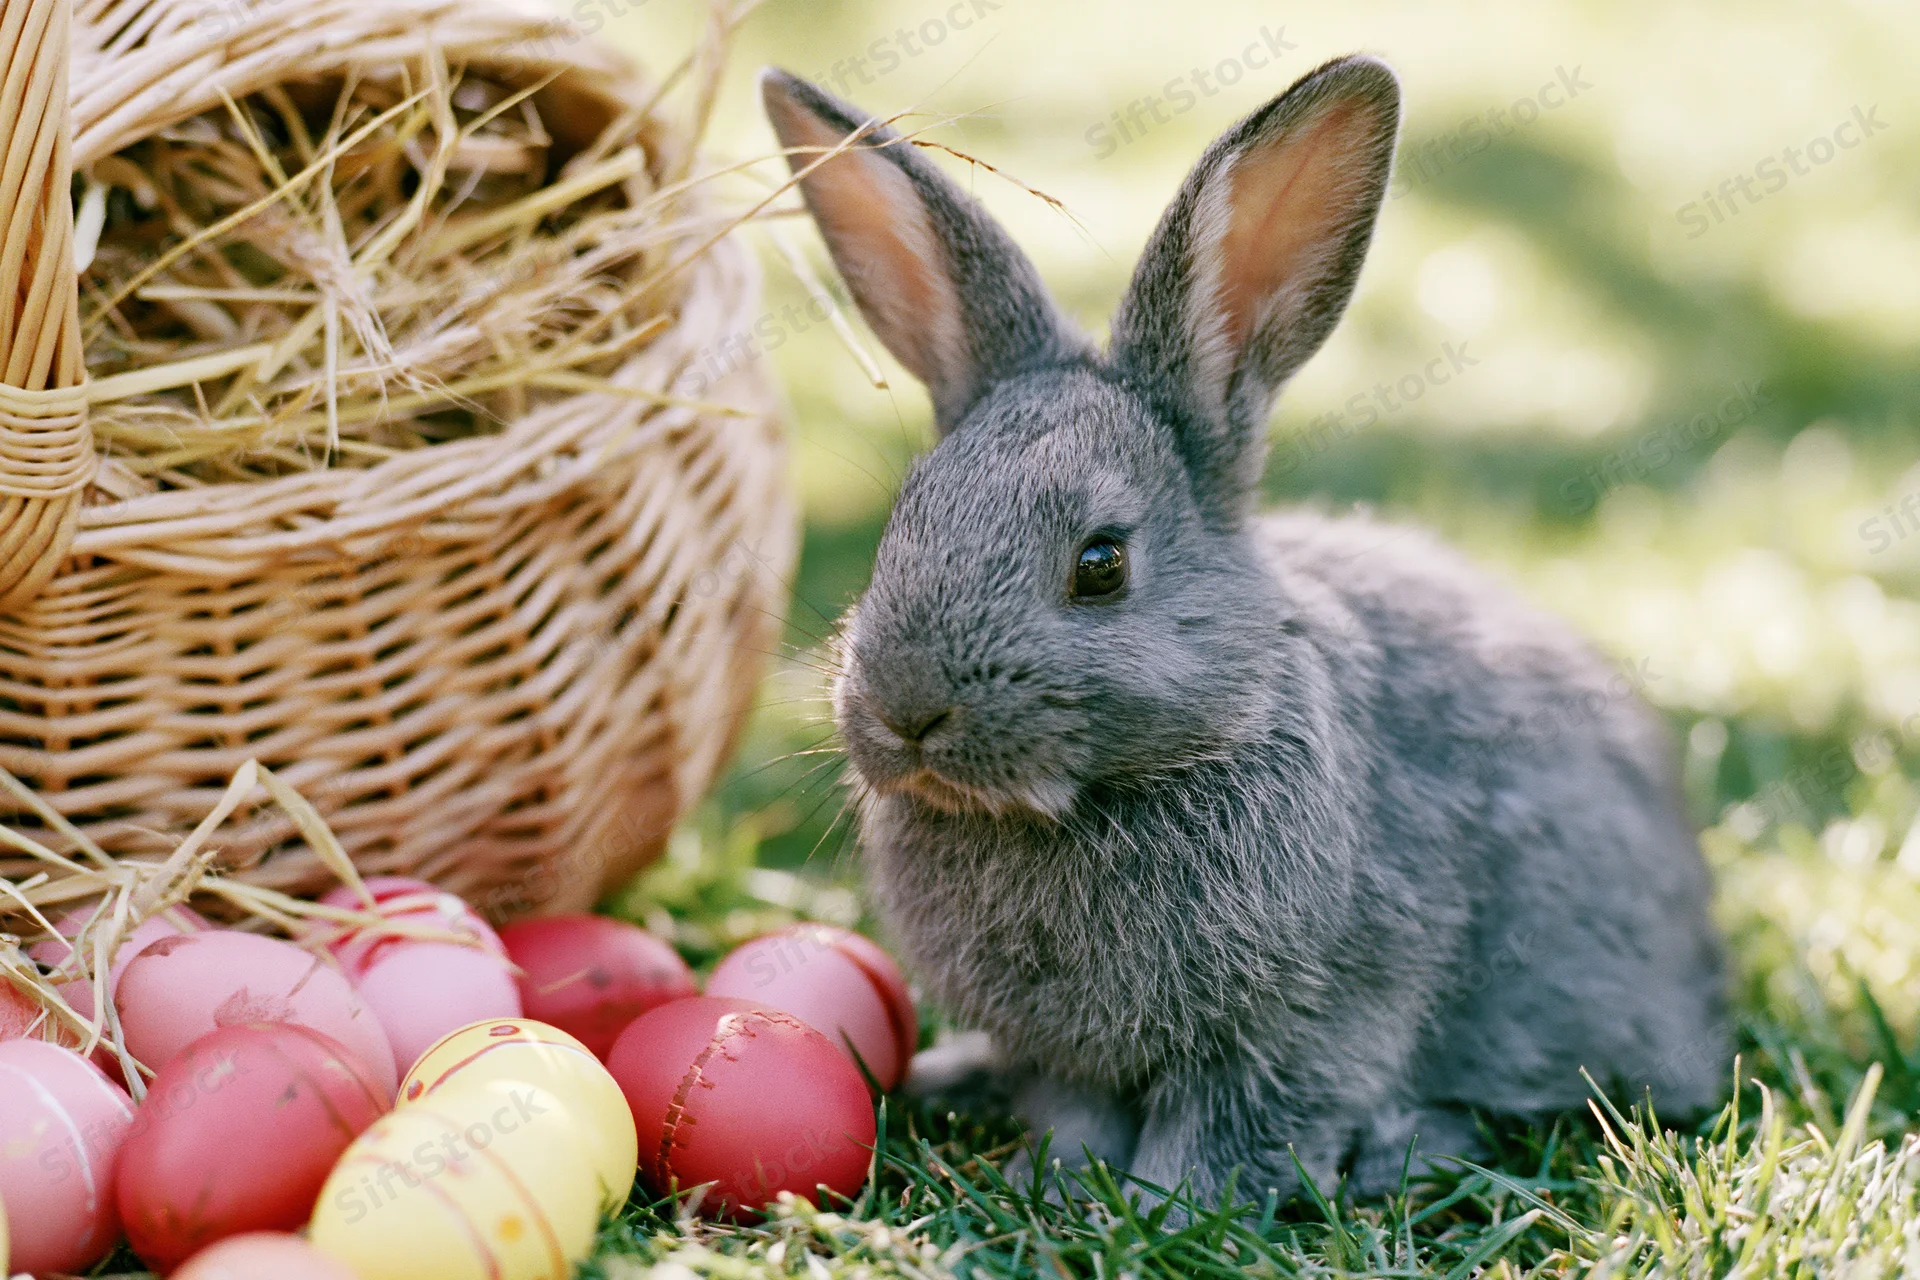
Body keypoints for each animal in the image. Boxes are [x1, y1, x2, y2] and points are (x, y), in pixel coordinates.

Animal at [760, 54, 1729, 1205]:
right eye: (899, 527)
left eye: (1101, 564)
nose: (905, 710)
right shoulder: (1062, 1054)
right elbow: (1074, 1109)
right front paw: (1064, 1180)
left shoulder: (1310, 1023)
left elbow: (1233, 1128)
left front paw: (1159, 1206)